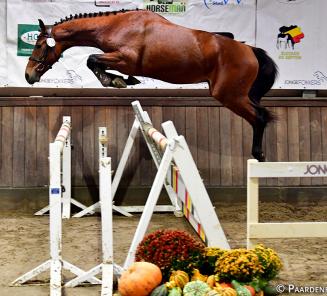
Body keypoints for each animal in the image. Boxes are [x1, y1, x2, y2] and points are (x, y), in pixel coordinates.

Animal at [24, 8, 278, 162]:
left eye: (39, 45)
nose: (29, 75)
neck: (115, 25)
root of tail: (250, 50)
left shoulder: (125, 58)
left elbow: (92, 59)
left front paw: (114, 80)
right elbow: (96, 61)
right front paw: (122, 80)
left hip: (229, 95)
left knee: (260, 117)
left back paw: (258, 155)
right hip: (235, 95)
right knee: (260, 115)